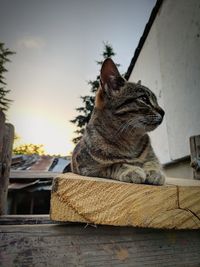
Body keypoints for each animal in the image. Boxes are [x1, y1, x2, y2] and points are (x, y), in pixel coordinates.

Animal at [71, 58, 165, 186]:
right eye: (144, 99)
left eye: (156, 100)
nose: (163, 112)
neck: (129, 141)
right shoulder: (87, 167)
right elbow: (115, 164)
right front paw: (131, 169)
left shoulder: (152, 157)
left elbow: (152, 162)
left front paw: (155, 172)